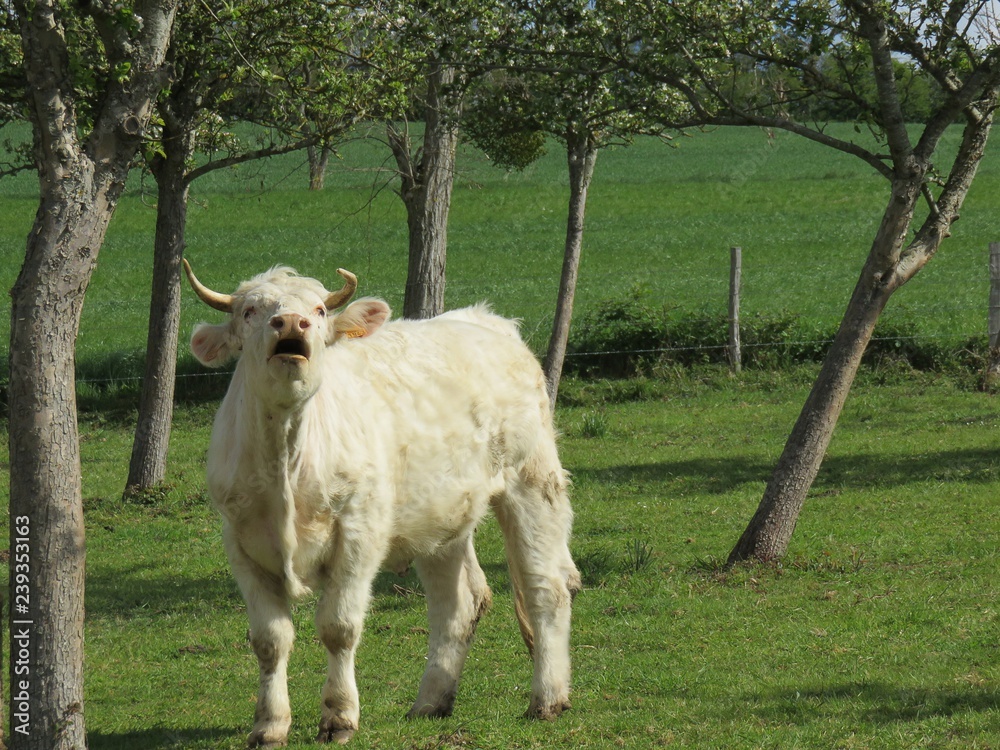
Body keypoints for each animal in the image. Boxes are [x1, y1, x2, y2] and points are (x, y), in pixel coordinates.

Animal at [183, 259, 581, 747]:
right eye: (249, 311)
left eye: (318, 310)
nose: (291, 323)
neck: (287, 457)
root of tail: (486, 319)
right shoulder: (241, 543)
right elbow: (270, 639)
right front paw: (270, 724)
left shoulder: (359, 531)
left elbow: (339, 627)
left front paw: (339, 716)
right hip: (443, 516)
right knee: (459, 604)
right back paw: (430, 701)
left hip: (531, 481)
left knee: (548, 589)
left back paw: (548, 698)